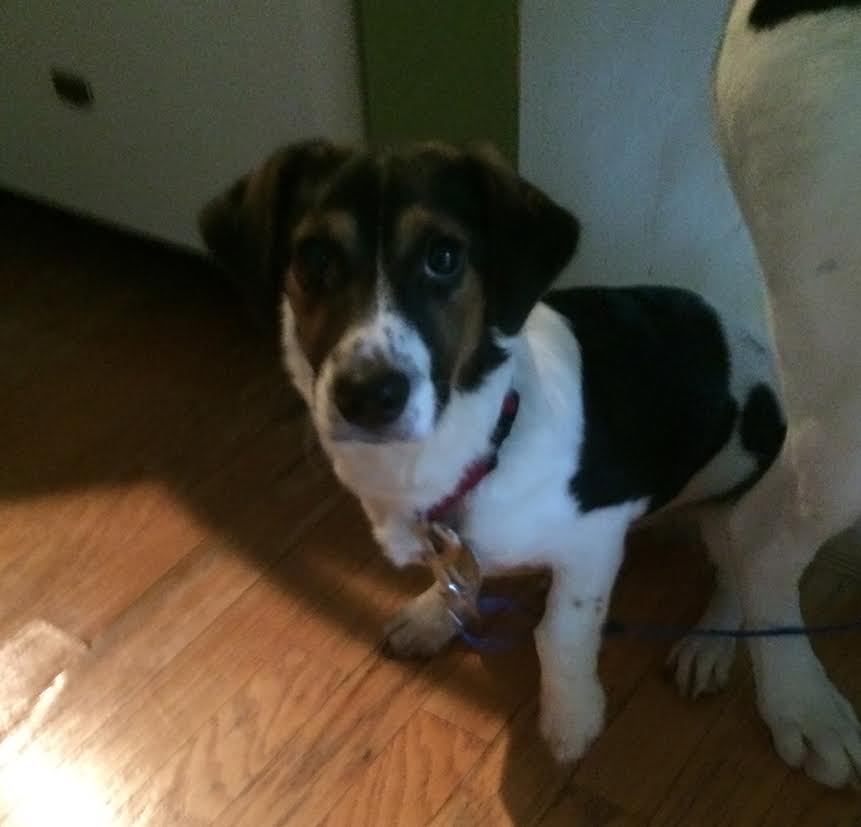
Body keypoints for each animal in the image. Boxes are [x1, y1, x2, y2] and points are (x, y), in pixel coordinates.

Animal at [199, 140, 784, 765]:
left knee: (740, 580)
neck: (485, 435)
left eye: (444, 257)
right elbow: (458, 577)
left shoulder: (595, 540)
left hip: (731, 507)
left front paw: (571, 718)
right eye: (314, 257)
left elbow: (561, 634)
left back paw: (708, 646)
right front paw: (435, 615)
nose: (368, 395)